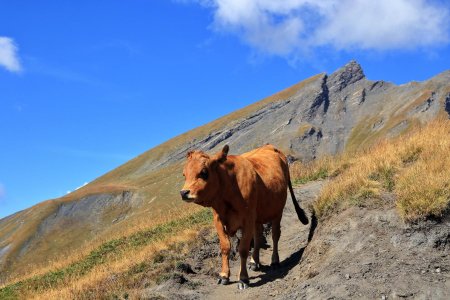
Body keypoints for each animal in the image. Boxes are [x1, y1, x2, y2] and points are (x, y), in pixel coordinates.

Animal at [181, 144, 308, 290]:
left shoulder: (247, 219)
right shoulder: (218, 220)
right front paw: (224, 275)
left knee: (275, 235)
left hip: (277, 210)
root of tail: (269, 146)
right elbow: (225, 247)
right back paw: (254, 262)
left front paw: (243, 278)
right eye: (184, 174)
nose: (183, 193)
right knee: (258, 237)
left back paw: (275, 261)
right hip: (257, 216)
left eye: (204, 172)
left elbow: (243, 249)